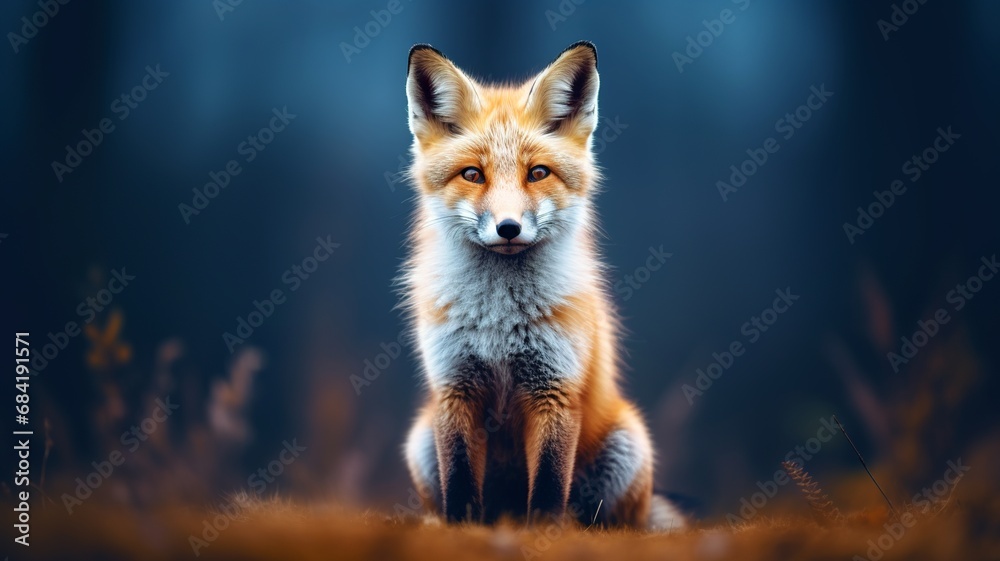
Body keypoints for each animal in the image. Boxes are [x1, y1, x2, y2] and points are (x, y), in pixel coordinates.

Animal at [399, 41, 684, 530]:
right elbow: (459, 480)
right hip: (420, 440)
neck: (497, 322)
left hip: (628, 446)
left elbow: (550, 484)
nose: (508, 227)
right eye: (472, 174)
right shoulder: (454, 387)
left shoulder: (554, 390)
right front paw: (460, 528)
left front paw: (545, 534)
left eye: (537, 173)